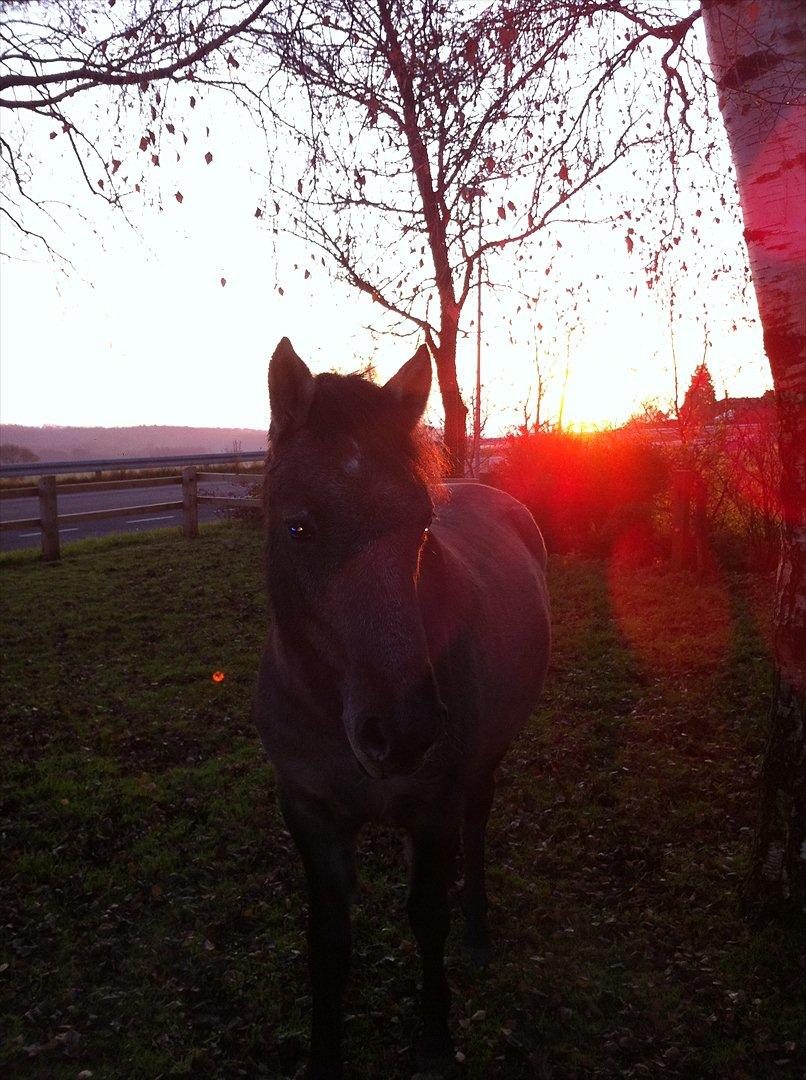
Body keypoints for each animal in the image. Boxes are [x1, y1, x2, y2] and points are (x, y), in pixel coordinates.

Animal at [253, 339, 548, 1080]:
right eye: (298, 526)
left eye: (420, 523)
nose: (406, 732)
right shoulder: (310, 815)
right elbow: (328, 943)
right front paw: (324, 1058)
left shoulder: (432, 809)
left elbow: (426, 918)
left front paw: (436, 1037)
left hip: (484, 763)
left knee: (478, 821)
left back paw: (478, 931)